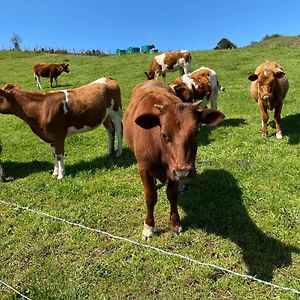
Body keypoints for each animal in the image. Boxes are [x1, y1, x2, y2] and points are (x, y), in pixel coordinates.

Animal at [123, 79, 224, 239]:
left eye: (196, 132)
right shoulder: (144, 168)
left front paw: (175, 223)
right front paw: (149, 226)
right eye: (164, 134)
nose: (183, 172)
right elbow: (150, 197)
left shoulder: (172, 171)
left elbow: (172, 195)